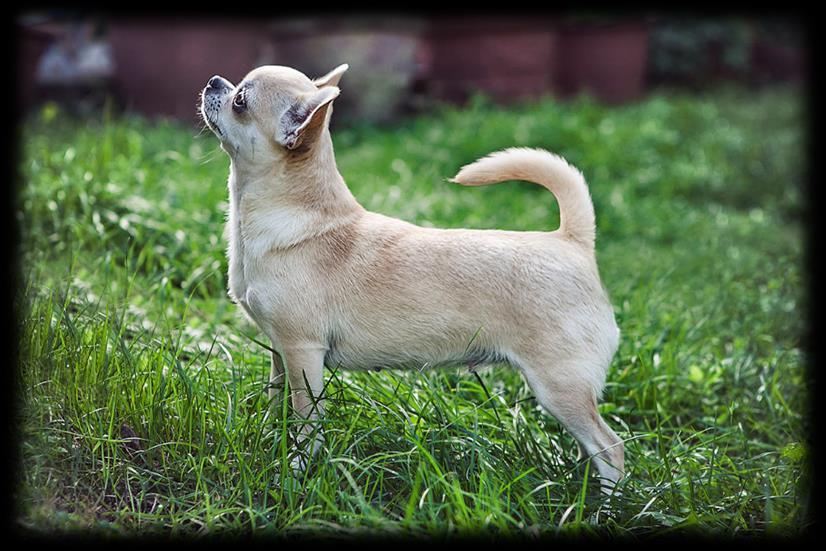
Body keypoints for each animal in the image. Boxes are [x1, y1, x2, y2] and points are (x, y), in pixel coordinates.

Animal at [200, 63, 624, 492]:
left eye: (240, 101)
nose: (214, 82)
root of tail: (572, 241)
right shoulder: (280, 351)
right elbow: (278, 402)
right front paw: (272, 439)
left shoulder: (303, 352)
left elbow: (307, 422)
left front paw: (296, 471)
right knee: (592, 448)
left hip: (558, 386)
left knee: (611, 449)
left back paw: (605, 501)